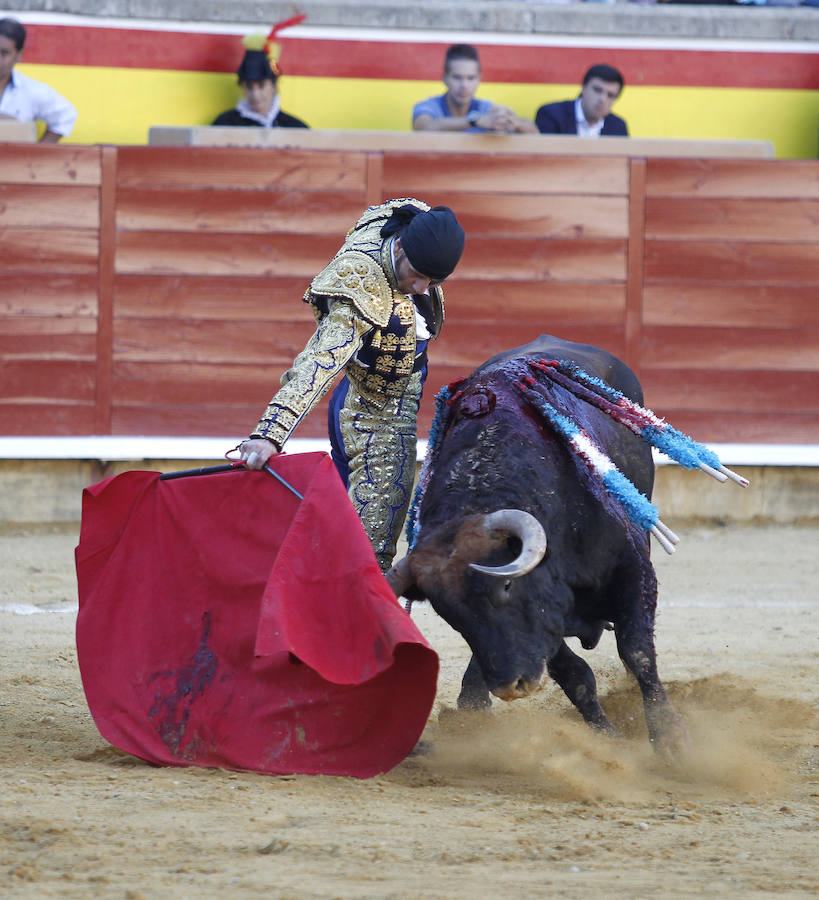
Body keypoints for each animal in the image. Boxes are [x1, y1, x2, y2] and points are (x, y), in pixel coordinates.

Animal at [390, 334, 692, 756]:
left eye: (506, 585)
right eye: (449, 614)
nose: (511, 686)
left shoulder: (633, 570)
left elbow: (637, 653)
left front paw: (671, 741)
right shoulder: (546, 614)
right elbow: (575, 674)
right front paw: (607, 741)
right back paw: (472, 704)